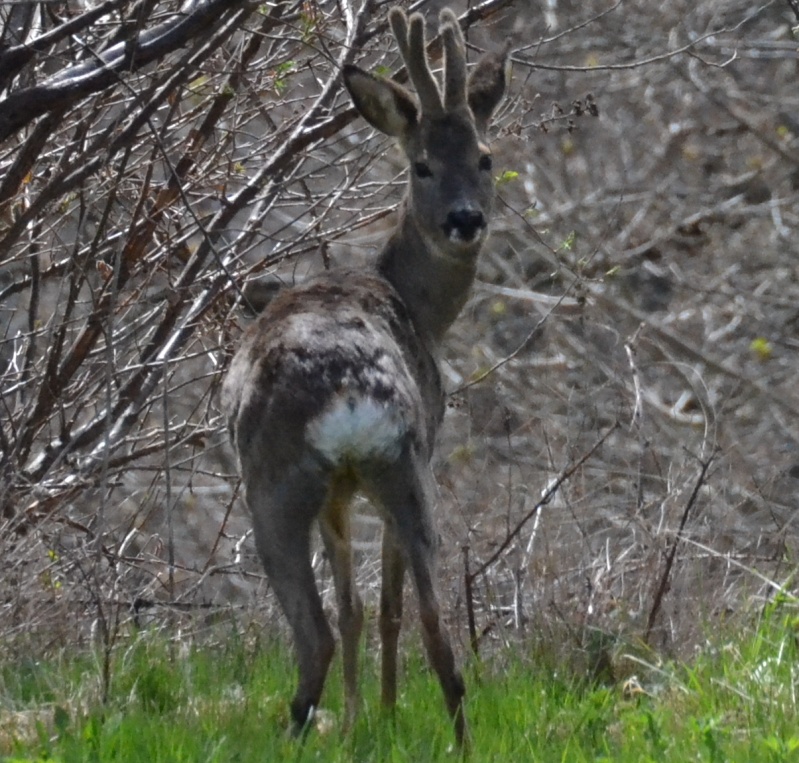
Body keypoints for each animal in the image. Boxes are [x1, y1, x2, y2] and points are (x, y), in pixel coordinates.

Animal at [220, 4, 506, 748]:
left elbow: (351, 606)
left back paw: (298, 732)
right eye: (421, 164)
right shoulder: (372, 477)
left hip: (283, 482)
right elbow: (372, 608)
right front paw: (368, 719)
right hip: (402, 467)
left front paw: (357, 721)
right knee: (435, 626)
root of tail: (349, 391)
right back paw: (457, 741)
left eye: (485, 157)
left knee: (318, 631)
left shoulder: (336, 492)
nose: (465, 220)